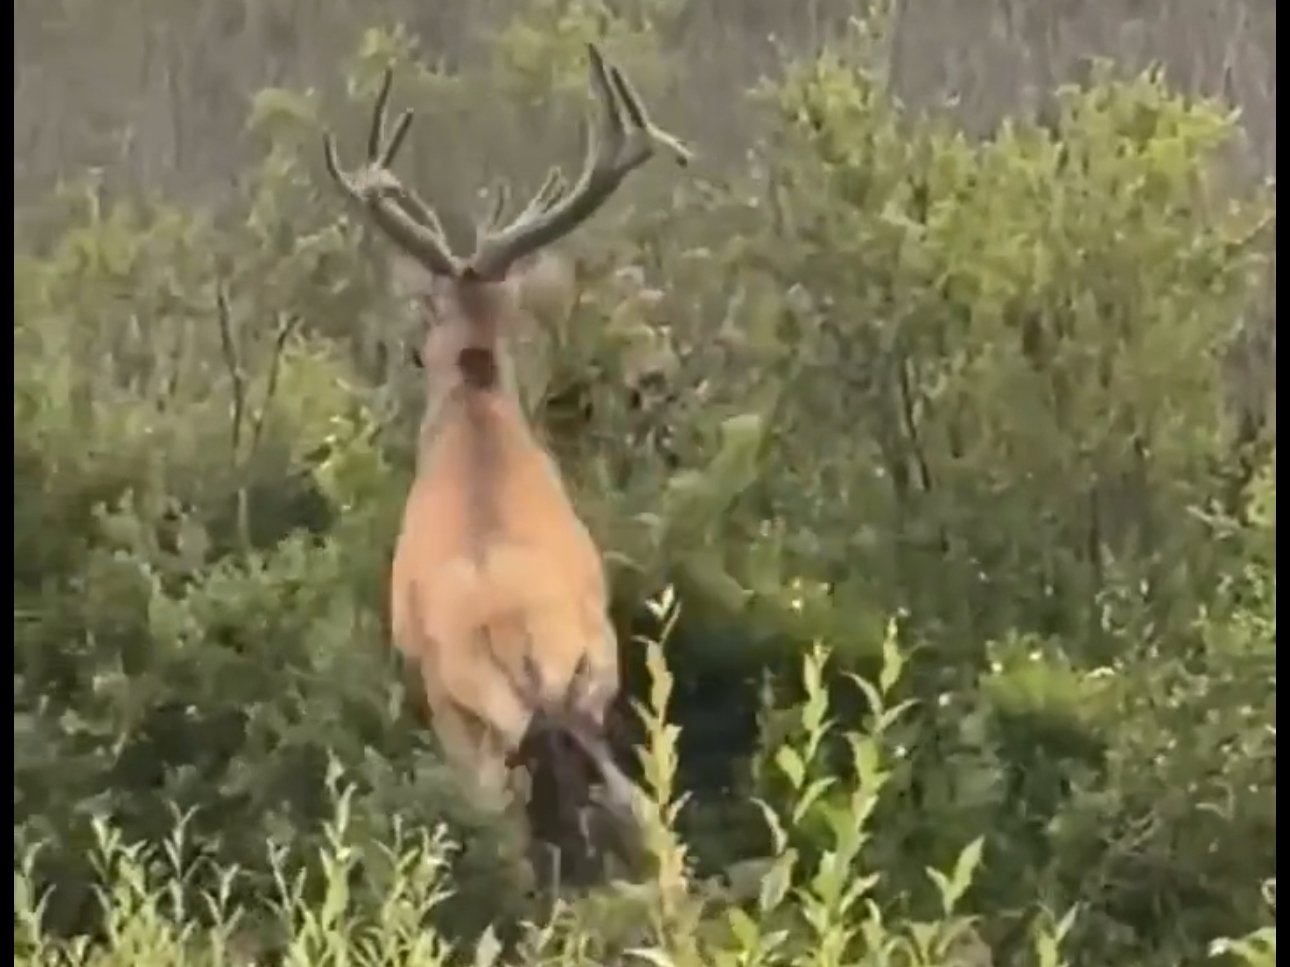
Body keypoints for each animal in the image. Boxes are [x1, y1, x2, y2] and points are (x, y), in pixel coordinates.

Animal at [321, 44, 692, 888]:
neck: (479, 422)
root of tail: (524, 643)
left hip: (475, 719)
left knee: (509, 837)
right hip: (597, 680)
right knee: (641, 812)